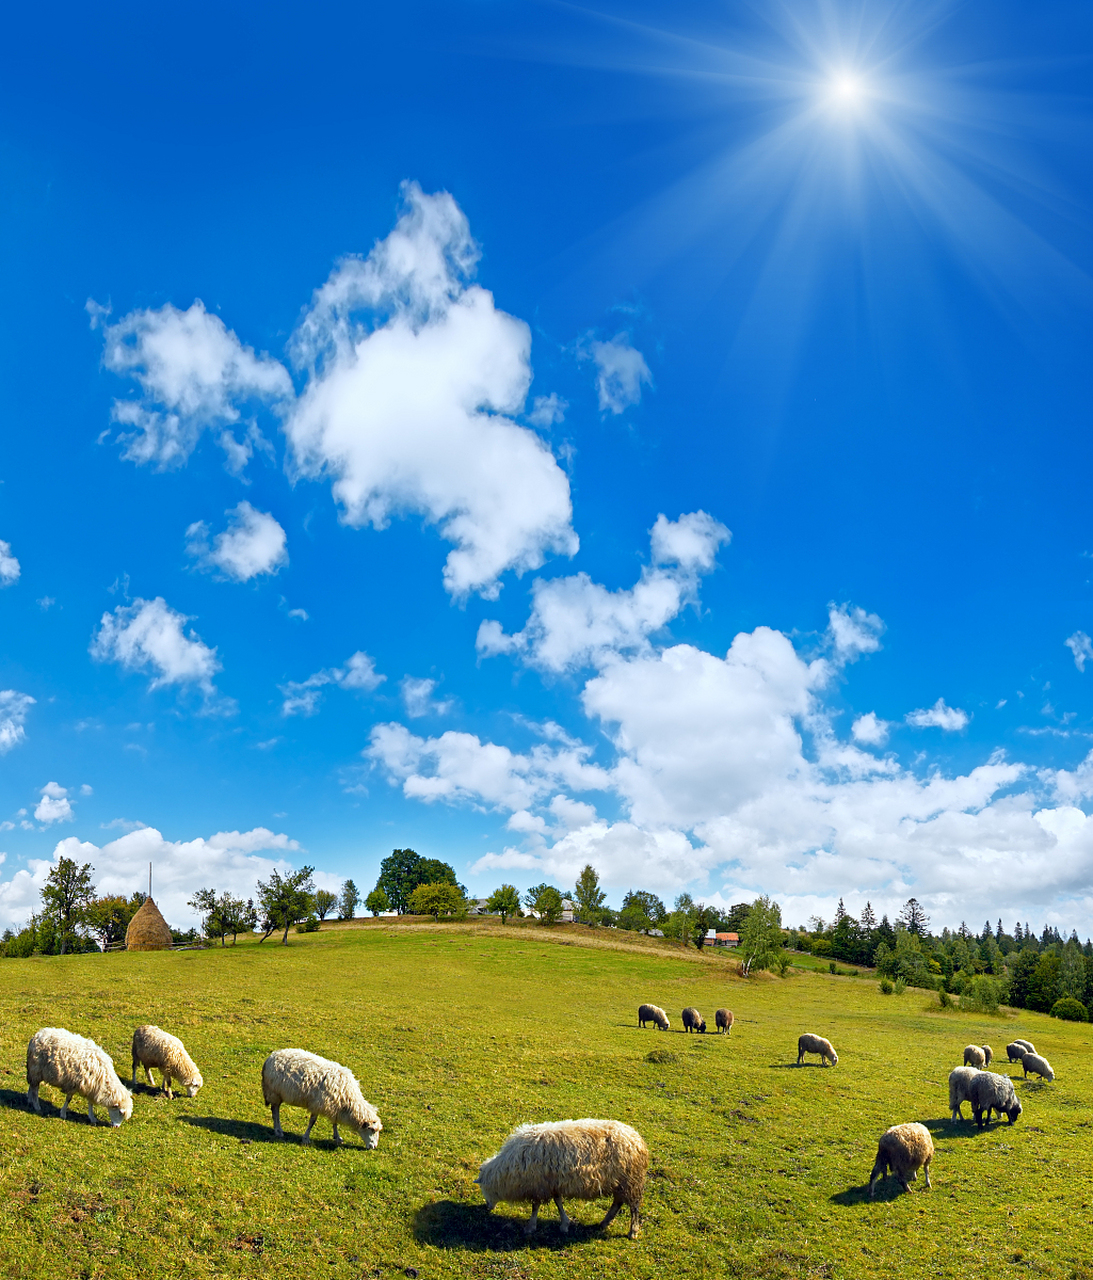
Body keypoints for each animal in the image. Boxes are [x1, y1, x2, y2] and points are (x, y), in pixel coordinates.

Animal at [478, 1116, 650, 1233]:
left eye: (483, 1189)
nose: (487, 1207)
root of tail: (637, 1139)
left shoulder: (539, 1186)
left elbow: (535, 1206)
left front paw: (530, 1227)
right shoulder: (552, 1183)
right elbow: (558, 1202)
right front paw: (564, 1224)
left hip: (631, 1181)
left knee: (634, 1207)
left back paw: (633, 1231)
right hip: (620, 1183)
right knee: (617, 1203)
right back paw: (604, 1223)